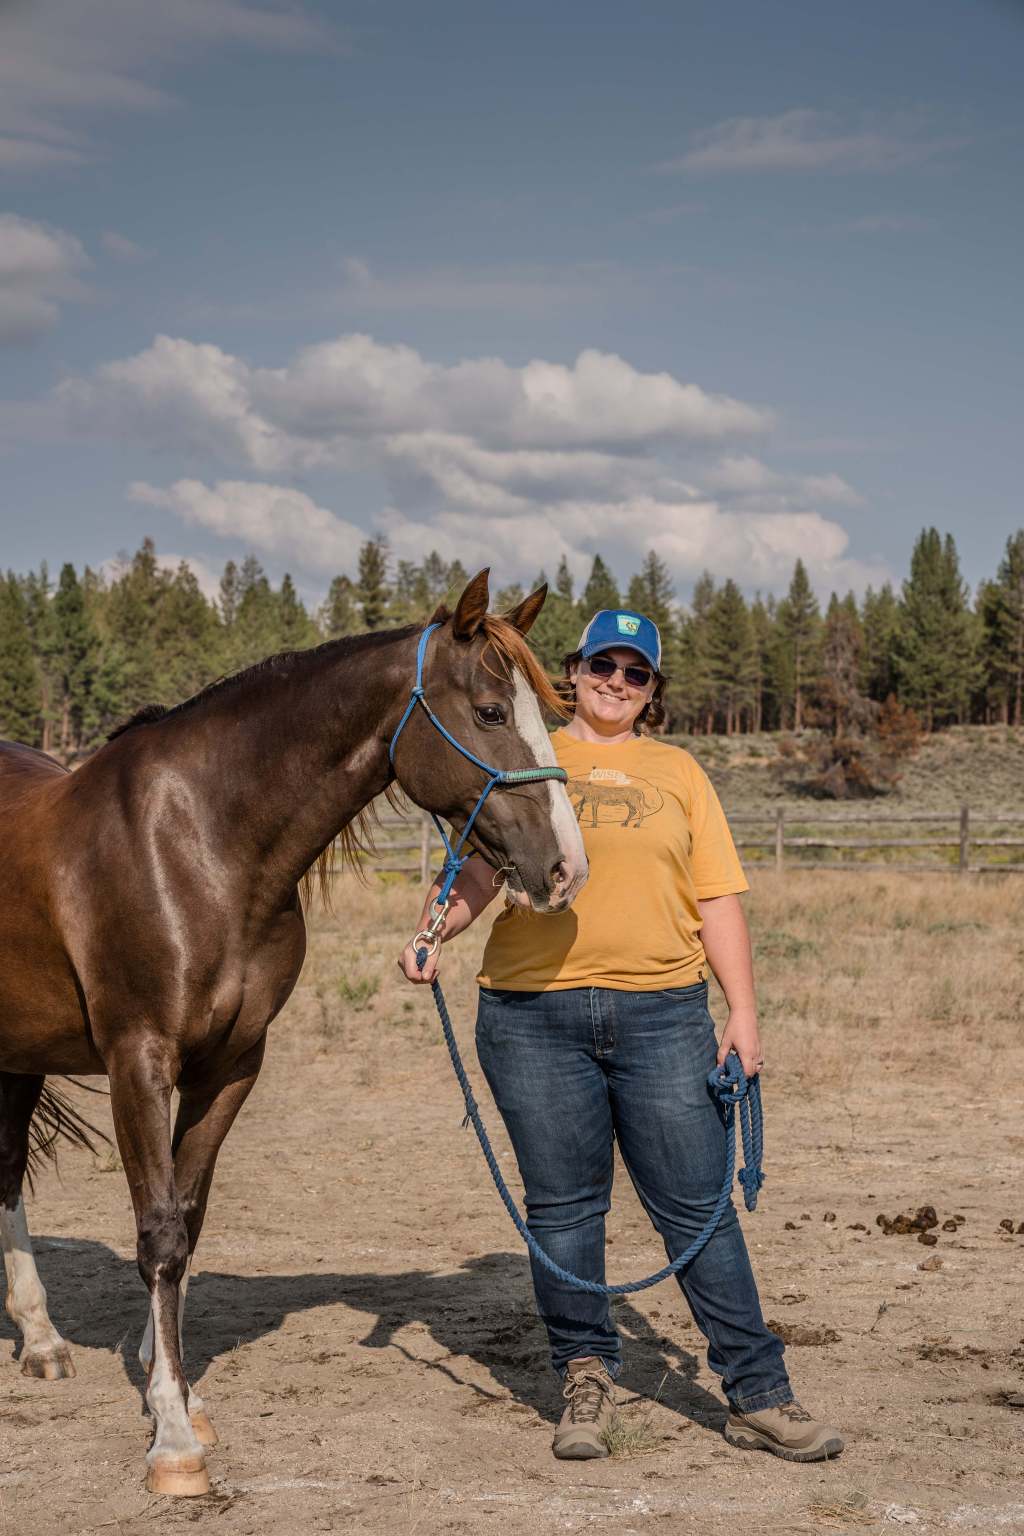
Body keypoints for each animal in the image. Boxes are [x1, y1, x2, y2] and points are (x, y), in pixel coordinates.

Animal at [0, 570, 587, 1497]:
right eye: (493, 710)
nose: (566, 868)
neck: (198, 843)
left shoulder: (231, 1063)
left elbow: (187, 1216)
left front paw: (177, 1388)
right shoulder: (140, 1059)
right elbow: (158, 1232)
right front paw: (174, 1442)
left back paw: (42, 1341)